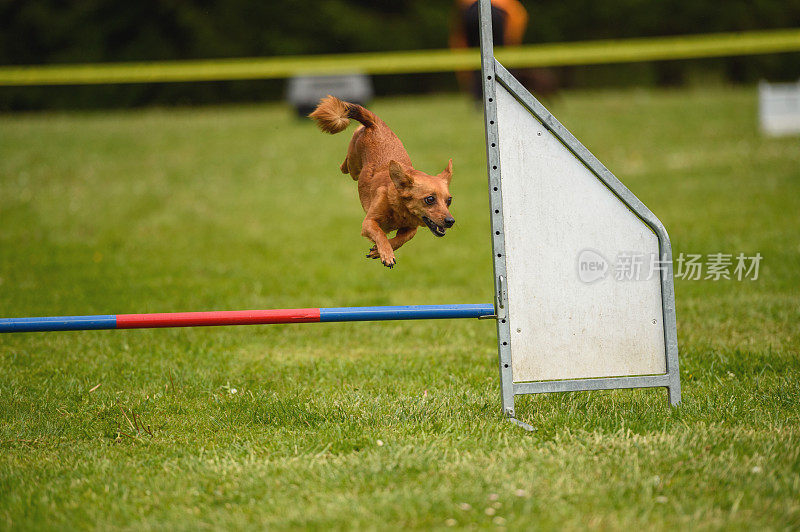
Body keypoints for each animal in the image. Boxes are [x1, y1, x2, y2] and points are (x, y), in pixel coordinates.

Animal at [310, 95, 454, 268]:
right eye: (430, 199)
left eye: (449, 201)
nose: (451, 221)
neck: (400, 210)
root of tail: (376, 124)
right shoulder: (368, 222)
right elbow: (380, 233)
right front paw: (386, 253)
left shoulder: (411, 229)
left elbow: (401, 238)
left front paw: (378, 251)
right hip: (353, 165)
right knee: (345, 164)